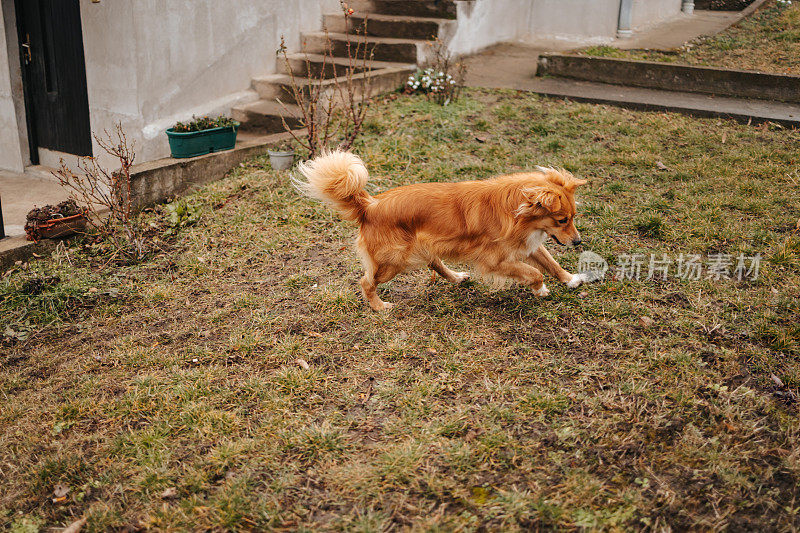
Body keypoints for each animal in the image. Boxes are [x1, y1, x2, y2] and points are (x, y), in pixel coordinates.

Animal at [296, 150, 592, 310]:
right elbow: (534, 272)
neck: (515, 212)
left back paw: (457, 277)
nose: (578, 243)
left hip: (419, 248)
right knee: (366, 282)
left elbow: (551, 263)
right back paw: (379, 306)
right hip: (393, 261)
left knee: (435, 262)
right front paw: (540, 289)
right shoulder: (495, 261)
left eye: (572, 218)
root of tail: (371, 205)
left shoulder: (528, 244)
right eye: (562, 220)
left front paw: (571, 279)